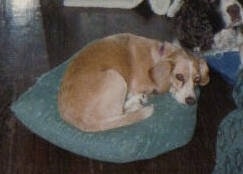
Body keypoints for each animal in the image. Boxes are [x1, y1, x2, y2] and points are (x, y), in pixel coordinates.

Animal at [57, 33, 209, 132]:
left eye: (197, 79)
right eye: (179, 76)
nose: (192, 101)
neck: (159, 56)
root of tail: (77, 120)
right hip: (117, 79)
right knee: (121, 112)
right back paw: (137, 103)